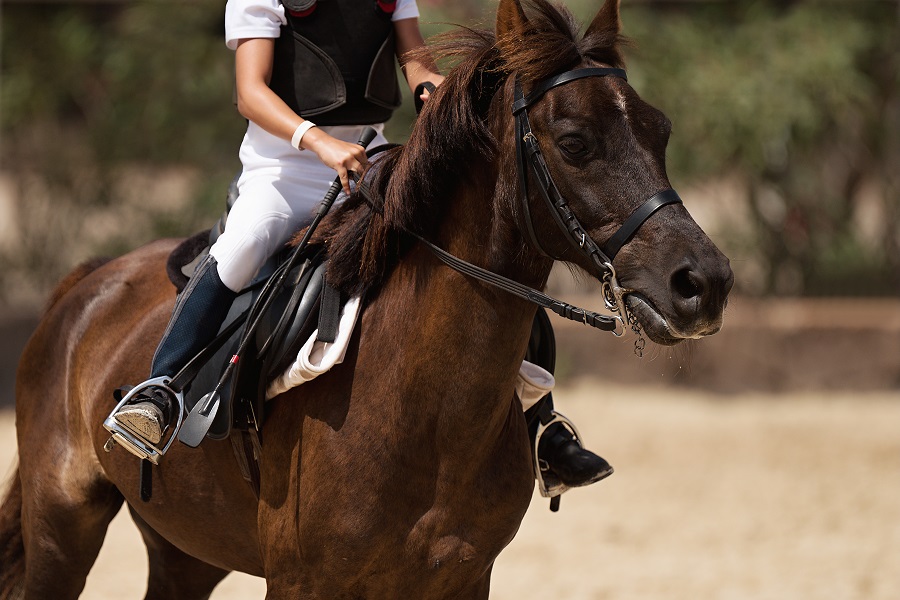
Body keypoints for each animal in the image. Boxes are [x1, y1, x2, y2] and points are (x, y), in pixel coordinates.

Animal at [0, 0, 732, 596]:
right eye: (575, 142)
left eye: (661, 131)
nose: (705, 283)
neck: (425, 406)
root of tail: (87, 282)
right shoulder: (303, 582)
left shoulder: (461, 579)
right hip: (61, 528)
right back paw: (150, 408)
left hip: (187, 545)